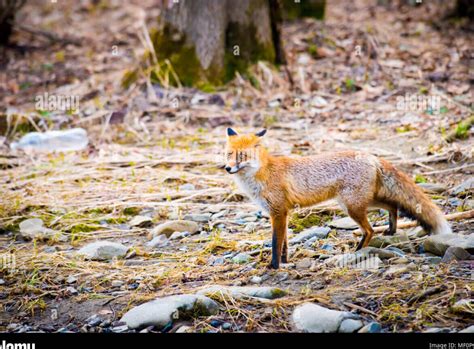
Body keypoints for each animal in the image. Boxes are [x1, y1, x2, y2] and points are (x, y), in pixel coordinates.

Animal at [223, 128, 452, 270]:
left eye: (242, 156)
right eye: (228, 154)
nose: (227, 168)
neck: (263, 174)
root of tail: (370, 155)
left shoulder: (278, 212)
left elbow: (275, 243)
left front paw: (274, 266)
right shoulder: (282, 213)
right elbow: (284, 243)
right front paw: (285, 261)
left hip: (352, 206)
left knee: (369, 230)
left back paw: (358, 251)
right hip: (363, 200)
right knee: (393, 205)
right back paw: (391, 229)